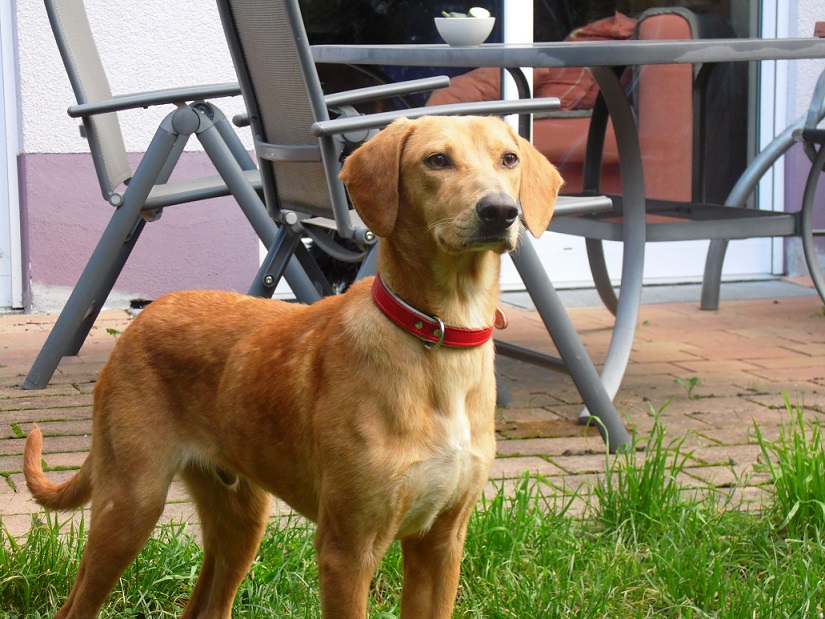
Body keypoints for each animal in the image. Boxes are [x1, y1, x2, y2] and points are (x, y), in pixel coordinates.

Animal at [24, 115, 562, 618]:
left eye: (509, 159)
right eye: (436, 160)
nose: (500, 211)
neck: (439, 339)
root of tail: (145, 316)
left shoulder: (442, 543)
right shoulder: (348, 549)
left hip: (242, 517)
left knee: (206, 607)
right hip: (131, 504)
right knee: (76, 606)